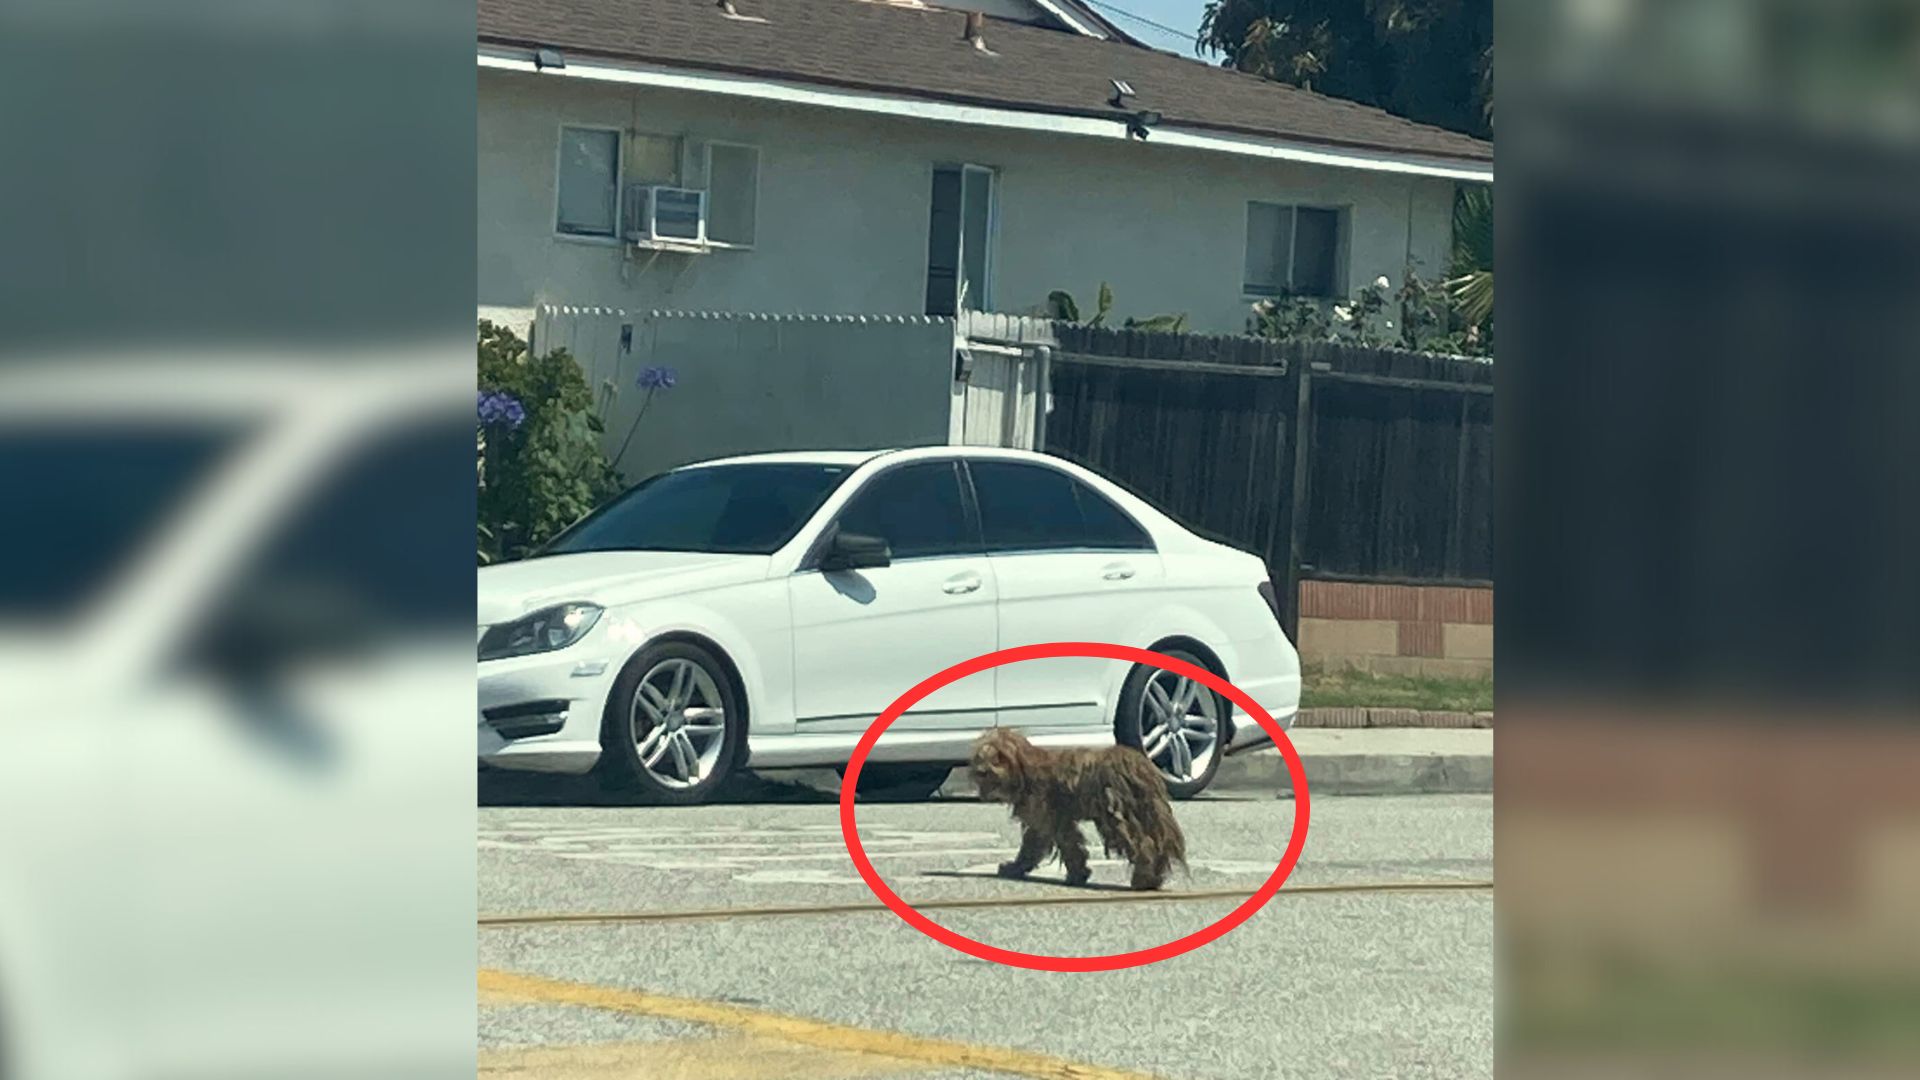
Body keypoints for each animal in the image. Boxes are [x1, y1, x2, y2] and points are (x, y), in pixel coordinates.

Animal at [975, 722, 1182, 891]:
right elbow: (1069, 845)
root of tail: (1139, 765)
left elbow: (1035, 844)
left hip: (1118, 816)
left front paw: (1014, 868)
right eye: (981, 756)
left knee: (1143, 845)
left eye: (1000, 756)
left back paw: (1144, 878)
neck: (1025, 770)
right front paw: (1078, 874)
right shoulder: (1059, 820)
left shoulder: (1043, 818)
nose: (982, 771)